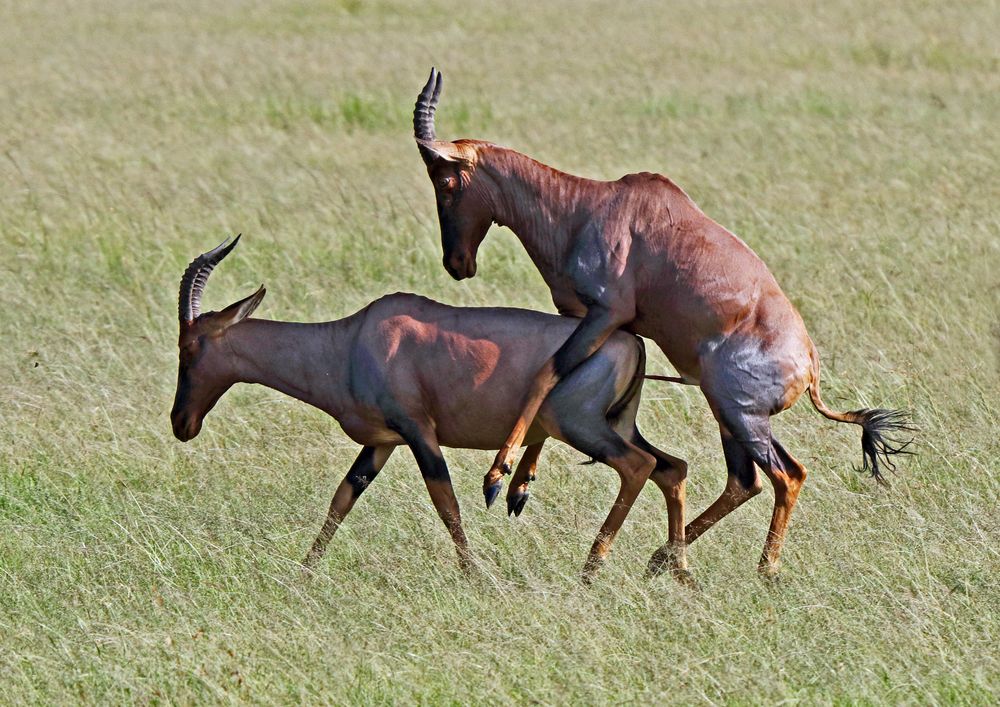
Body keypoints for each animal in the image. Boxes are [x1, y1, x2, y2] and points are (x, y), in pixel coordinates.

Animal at [168, 236, 692, 580]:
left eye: (190, 346)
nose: (181, 422)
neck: (354, 339)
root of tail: (628, 340)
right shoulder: (382, 443)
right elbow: (342, 498)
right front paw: (302, 574)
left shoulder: (419, 432)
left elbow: (447, 504)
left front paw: (476, 578)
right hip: (618, 424)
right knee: (673, 468)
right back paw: (677, 571)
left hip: (579, 426)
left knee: (638, 466)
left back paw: (591, 569)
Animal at [414, 66, 916, 580]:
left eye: (446, 181)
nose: (456, 263)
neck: (587, 208)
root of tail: (810, 366)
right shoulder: (579, 317)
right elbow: (553, 374)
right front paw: (521, 486)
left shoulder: (606, 313)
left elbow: (546, 372)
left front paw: (498, 478)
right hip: (730, 413)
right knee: (744, 480)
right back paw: (664, 560)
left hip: (739, 411)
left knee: (786, 475)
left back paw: (765, 570)